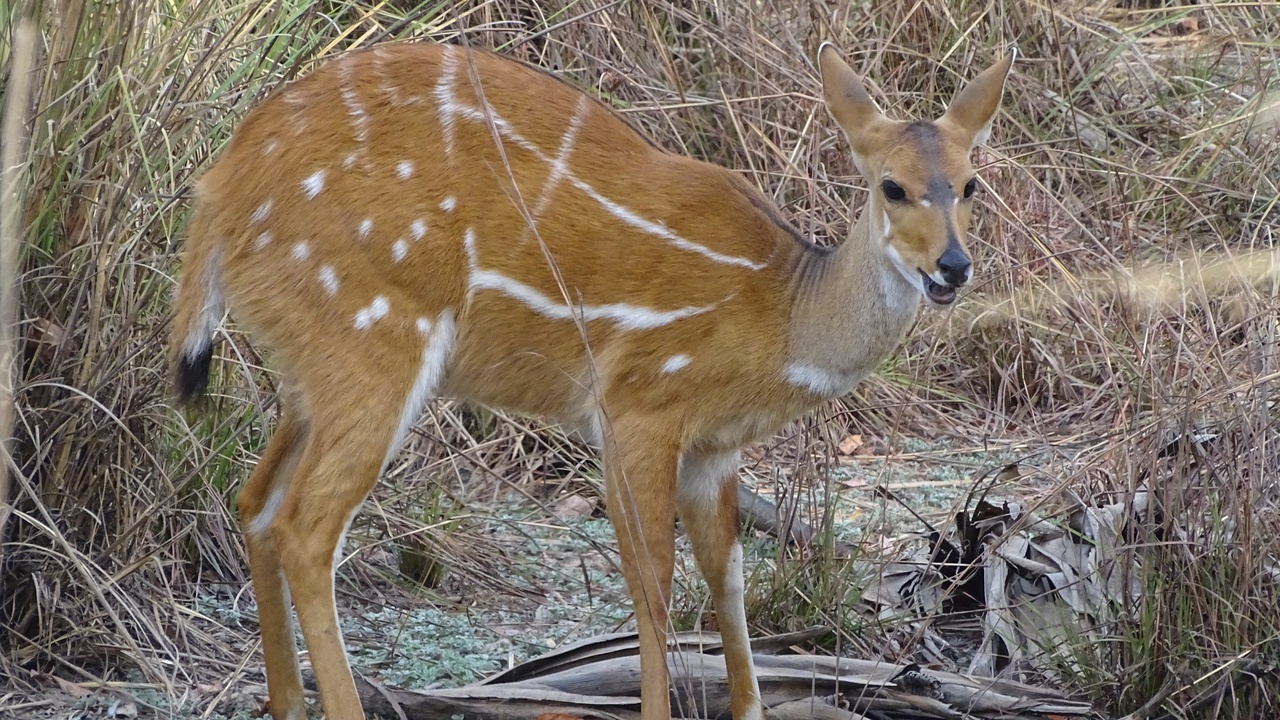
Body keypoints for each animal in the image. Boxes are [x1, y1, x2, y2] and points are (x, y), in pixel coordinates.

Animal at [169, 41, 1013, 720]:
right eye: (892, 186)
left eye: (970, 184)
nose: (953, 268)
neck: (782, 313)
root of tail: (218, 196)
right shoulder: (637, 409)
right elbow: (652, 584)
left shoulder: (714, 450)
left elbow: (729, 578)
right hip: (373, 346)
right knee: (306, 526)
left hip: (308, 372)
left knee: (255, 500)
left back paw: (286, 701)